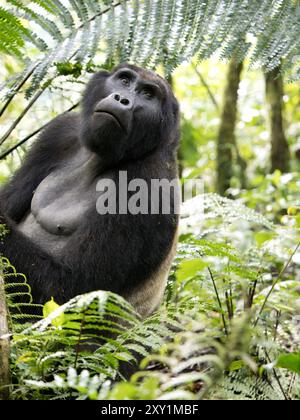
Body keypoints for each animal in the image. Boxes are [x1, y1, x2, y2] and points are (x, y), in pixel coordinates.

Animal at [0, 63, 180, 318]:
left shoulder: (148, 183)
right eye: (124, 80)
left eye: (148, 94)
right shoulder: (59, 133)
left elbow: (67, 290)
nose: (122, 99)